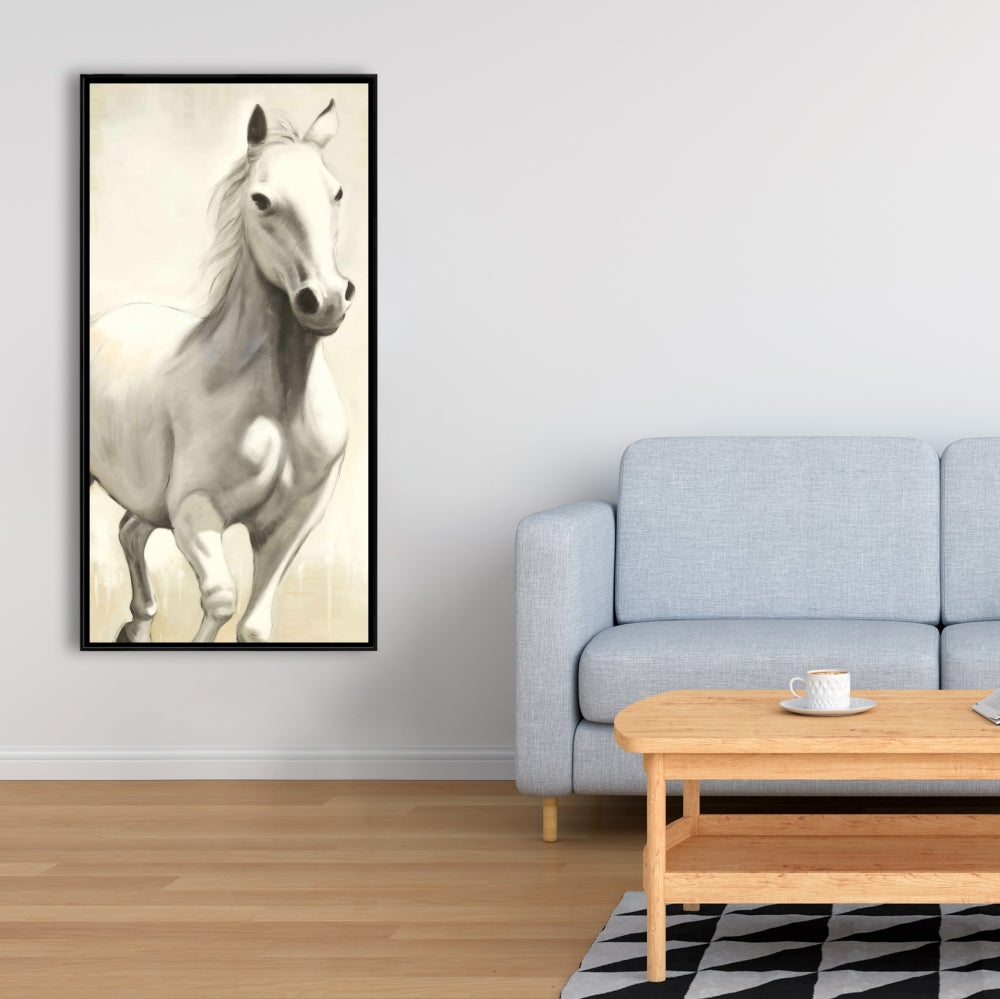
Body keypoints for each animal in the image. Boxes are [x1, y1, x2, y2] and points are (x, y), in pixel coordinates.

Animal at [89, 100, 355, 643]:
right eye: (261, 199)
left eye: (336, 191)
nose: (325, 301)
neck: (278, 406)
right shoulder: (195, 510)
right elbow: (220, 599)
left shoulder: (294, 522)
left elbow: (253, 625)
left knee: (130, 529)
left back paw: (138, 625)